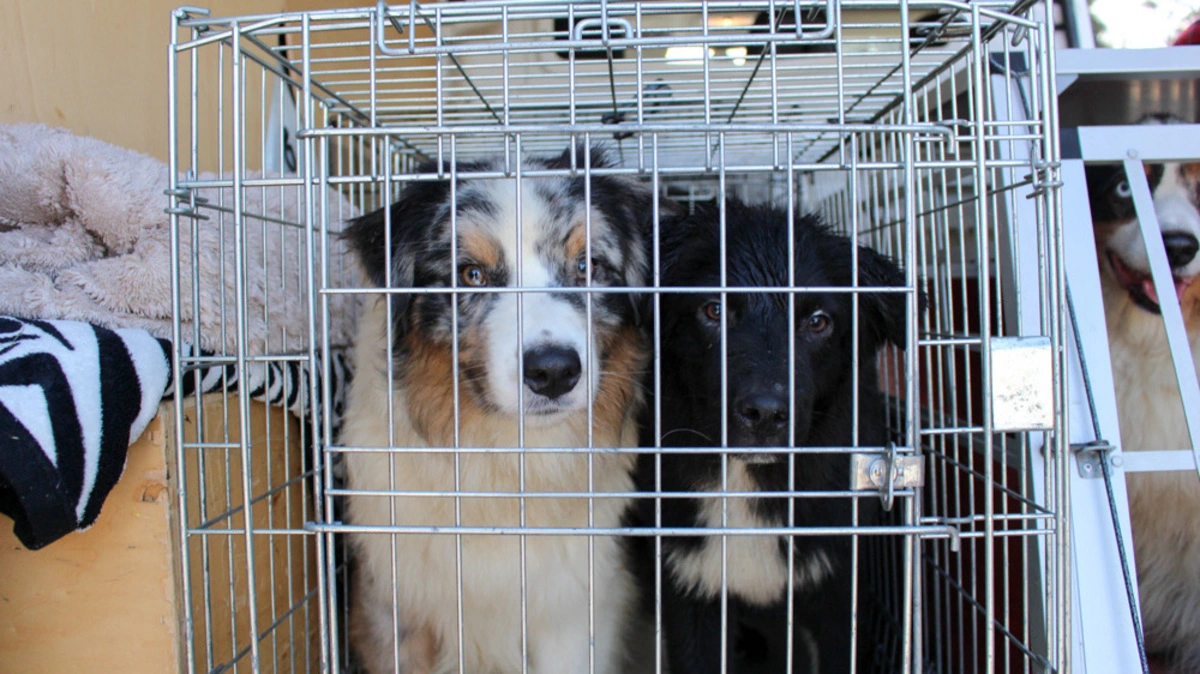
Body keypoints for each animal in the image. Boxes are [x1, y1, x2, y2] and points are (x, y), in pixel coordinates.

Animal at [340, 146, 656, 674]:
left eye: (587, 266)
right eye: (471, 274)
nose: (553, 371)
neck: (508, 464)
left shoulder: (573, 611)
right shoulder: (399, 612)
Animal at [631, 198, 912, 673]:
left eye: (817, 321)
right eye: (714, 310)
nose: (764, 415)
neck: (752, 482)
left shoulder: (838, 590)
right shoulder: (690, 588)